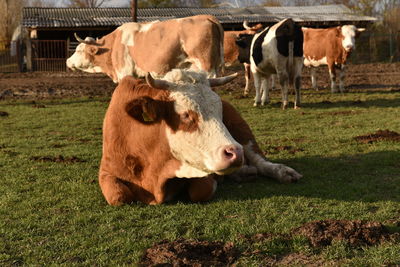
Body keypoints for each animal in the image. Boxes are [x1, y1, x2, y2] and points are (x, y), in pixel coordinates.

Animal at [98, 70, 302, 206]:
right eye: (185, 115)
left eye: (219, 111)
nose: (235, 153)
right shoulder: (107, 171)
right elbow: (119, 196)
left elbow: (201, 190)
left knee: (259, 161)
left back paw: (280, 172)